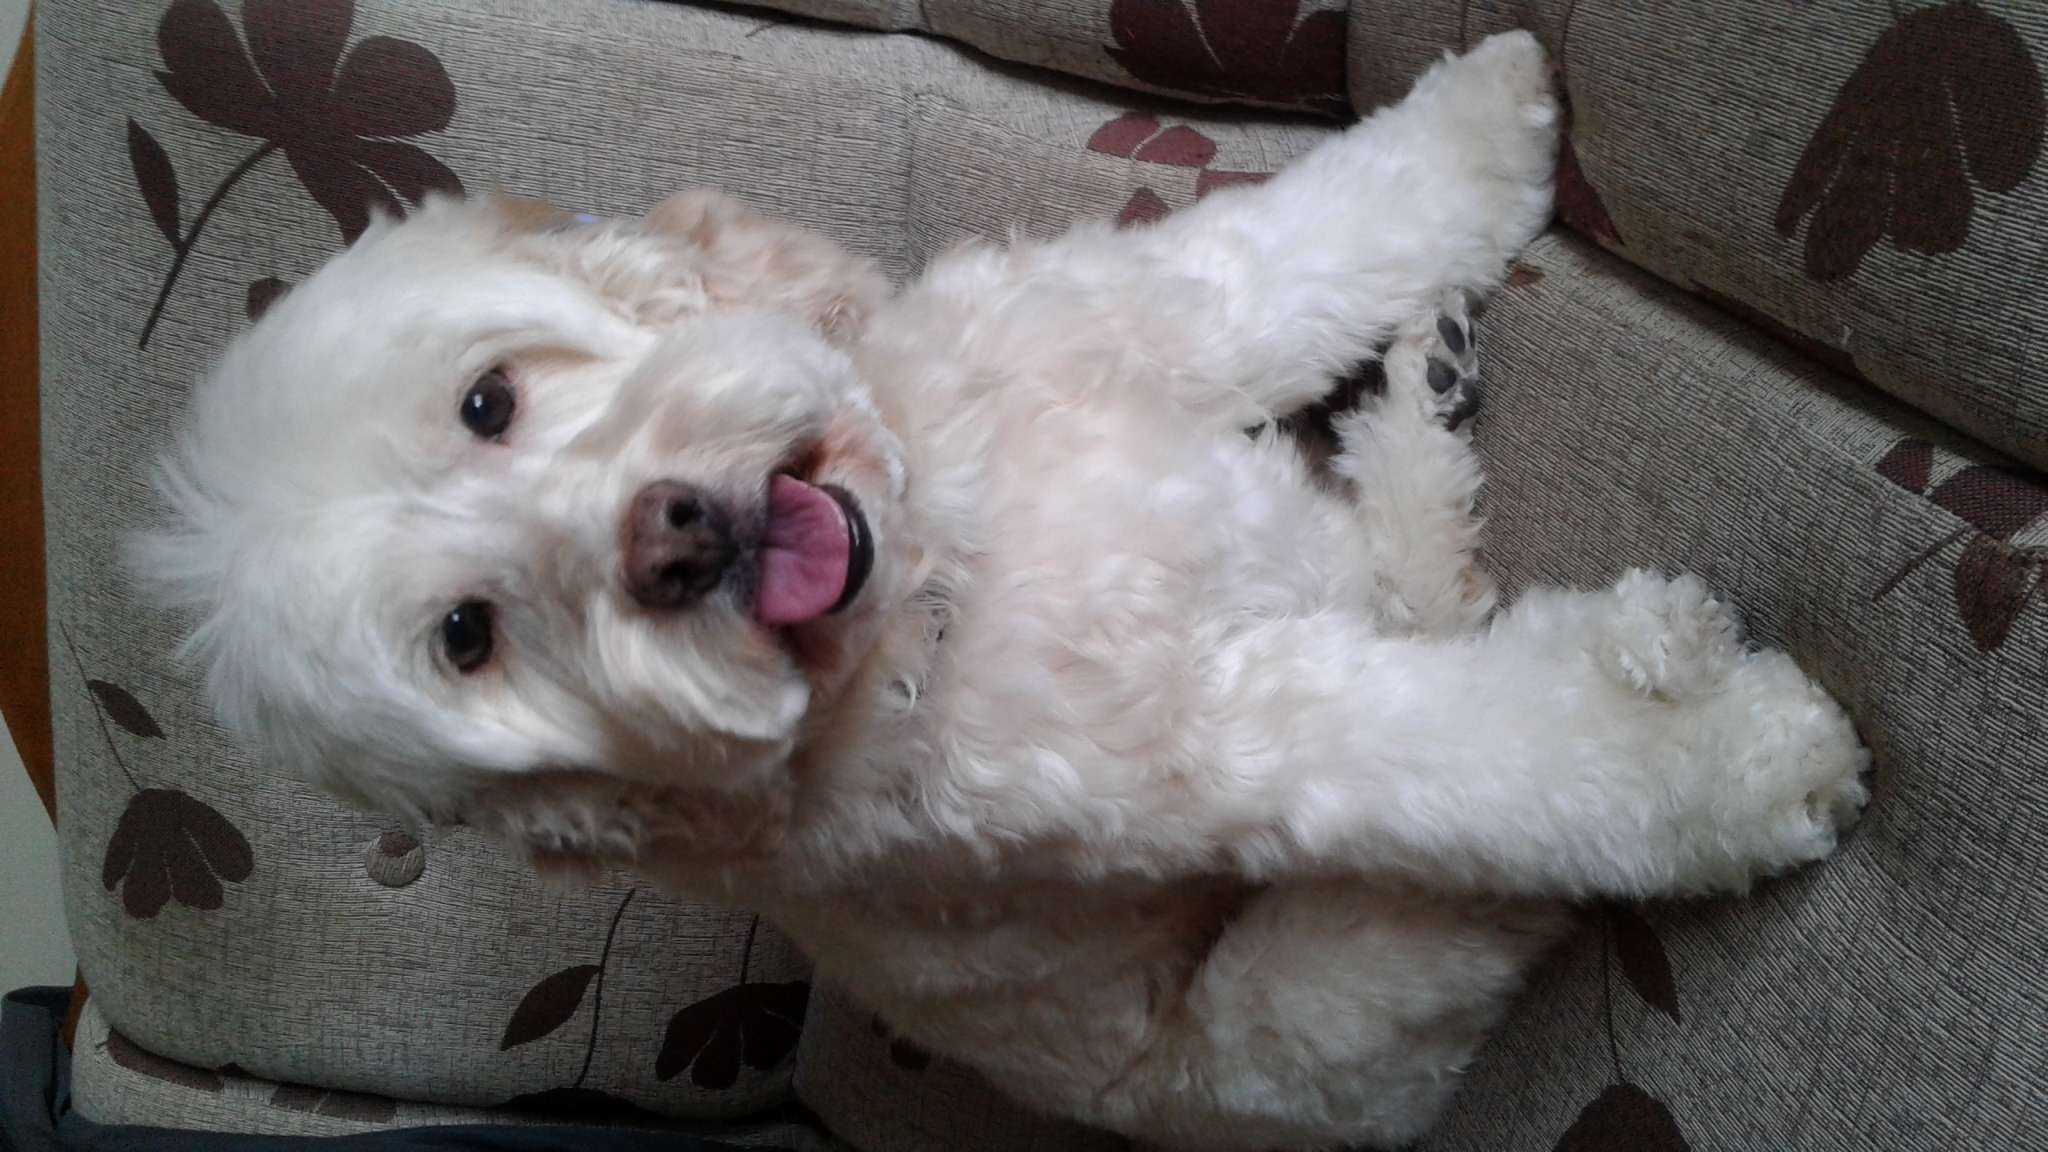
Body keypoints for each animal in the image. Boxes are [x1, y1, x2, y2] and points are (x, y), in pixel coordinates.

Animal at [135, 32, 1869, 1149]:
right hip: (1293, 1023)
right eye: (469, 638)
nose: (670, 537)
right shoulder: (1232, 745)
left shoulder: (1143, 317)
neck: (943, 549)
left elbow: (1300, 244)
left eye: (488, 401)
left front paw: (1494, 112)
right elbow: (1505, 759)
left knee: (1418, 577)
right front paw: (1742, 764)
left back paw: (1472, 451)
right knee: (1456, 823)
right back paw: (1641, 663)